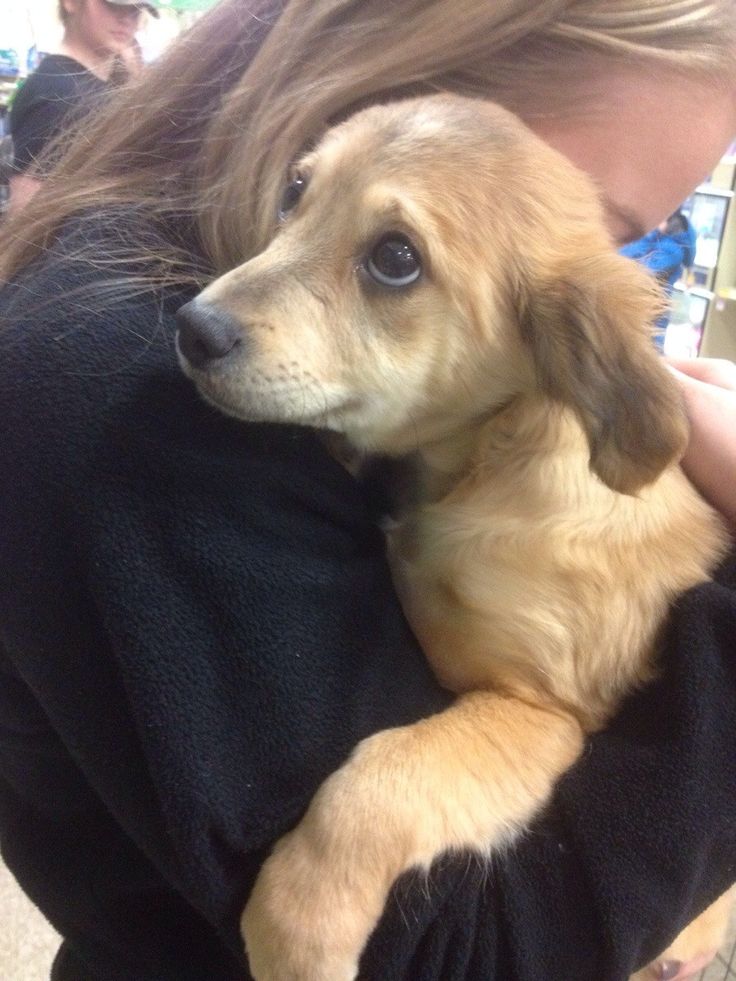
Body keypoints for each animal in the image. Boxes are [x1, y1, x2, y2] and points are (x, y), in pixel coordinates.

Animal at [175, 94, 732, 980]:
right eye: (296, 192)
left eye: (396, 258)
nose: (193, 328)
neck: (482, 466)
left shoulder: (545, 708)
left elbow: (382, 776)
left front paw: (299, 926)